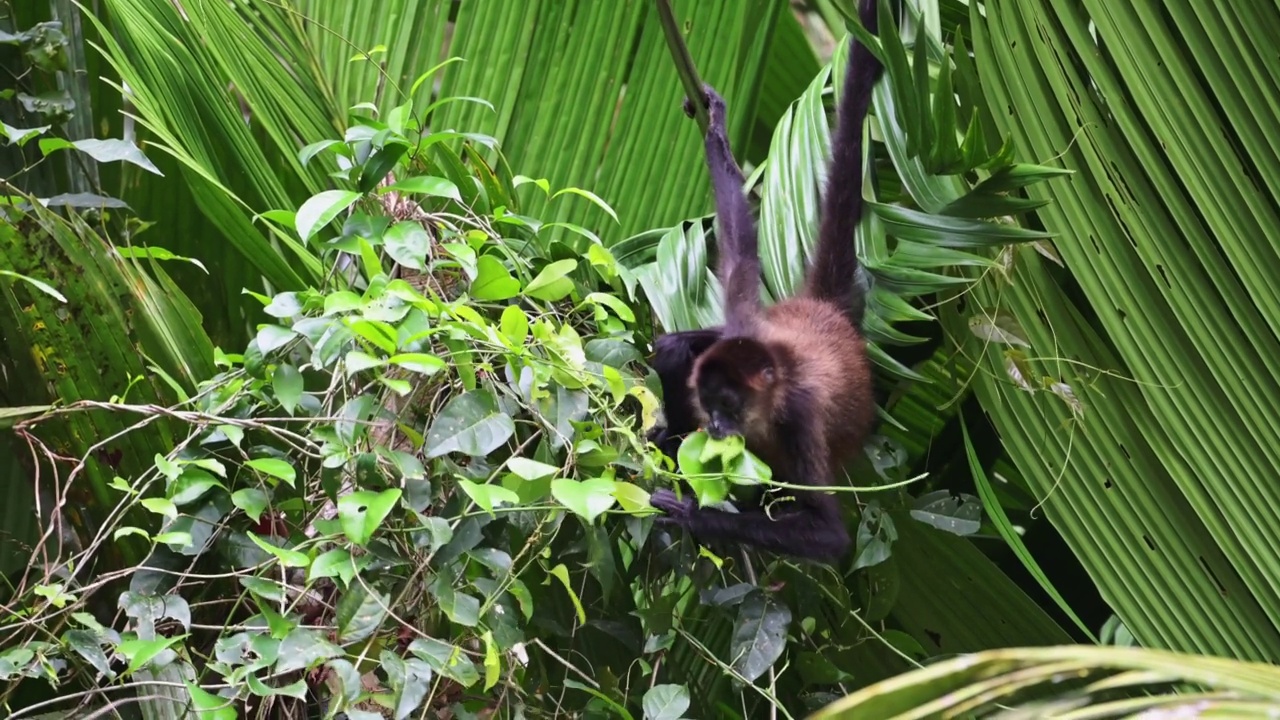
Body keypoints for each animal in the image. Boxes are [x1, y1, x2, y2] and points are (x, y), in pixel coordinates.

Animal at [650, 0, 890, 561]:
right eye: (710, 403)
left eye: (730, 405)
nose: (715, 426)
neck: (776, 375)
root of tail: (825, 310)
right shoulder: (744, 325)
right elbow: (739, 246)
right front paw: (716, 124)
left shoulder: (799, 416)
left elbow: (830, 535)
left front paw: (691, 514)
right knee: (674, 348)